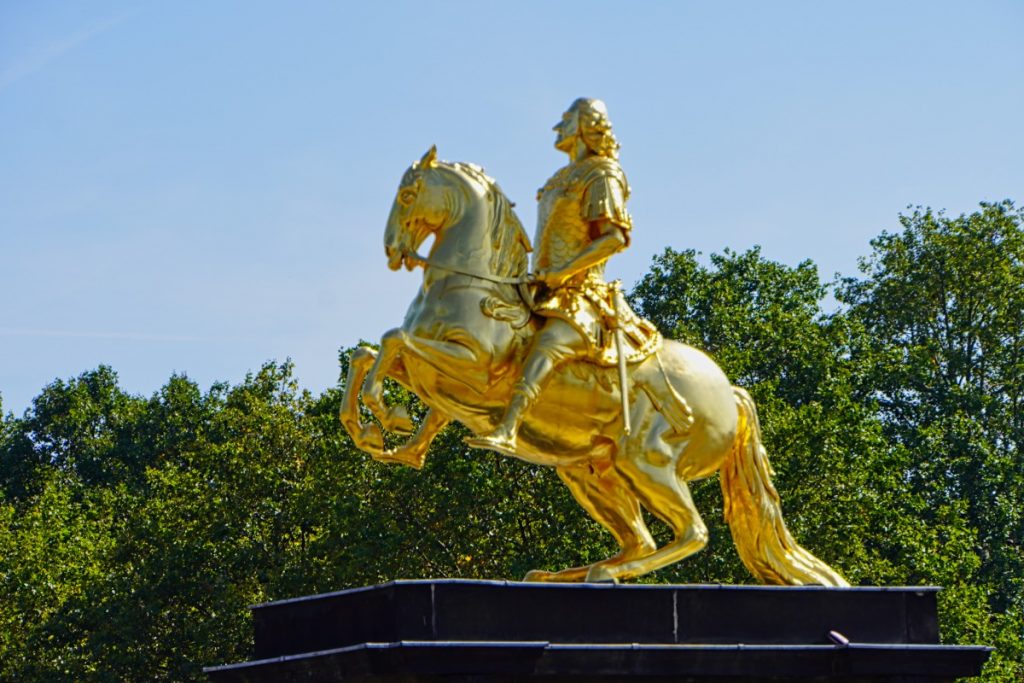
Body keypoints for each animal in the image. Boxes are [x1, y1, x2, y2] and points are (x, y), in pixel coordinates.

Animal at [339, 149, 843, 589]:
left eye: (408, 194)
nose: (392, 250)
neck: (472, 286)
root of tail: (731, 393)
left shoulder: (475, 372)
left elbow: (391, 340)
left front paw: (385, 415)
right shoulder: (440, 379)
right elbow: (369, 354)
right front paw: (379, 436)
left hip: (645, 462)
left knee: (691, 533)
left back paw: (600, 572)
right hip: (591, 471)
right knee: (641, 540)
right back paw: (559, 574)